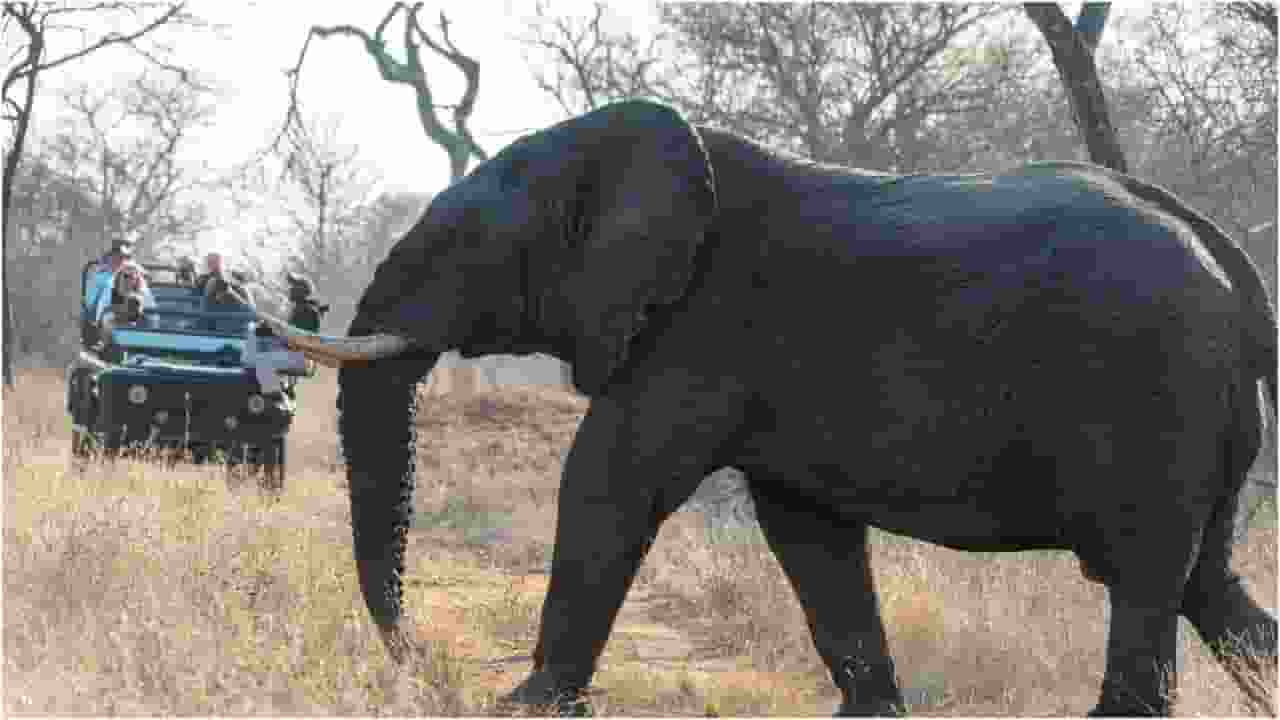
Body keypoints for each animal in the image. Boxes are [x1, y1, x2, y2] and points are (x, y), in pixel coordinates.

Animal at [254, 100, 1277, 716]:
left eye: (465, 245)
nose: (421, 659)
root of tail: (1230, 261)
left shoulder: (696, 332)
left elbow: (608, 484)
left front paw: (528, 707)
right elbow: (806, 534)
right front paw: (871, 711)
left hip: (1153, 392)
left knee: (1145, 575)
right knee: (1203, 581)